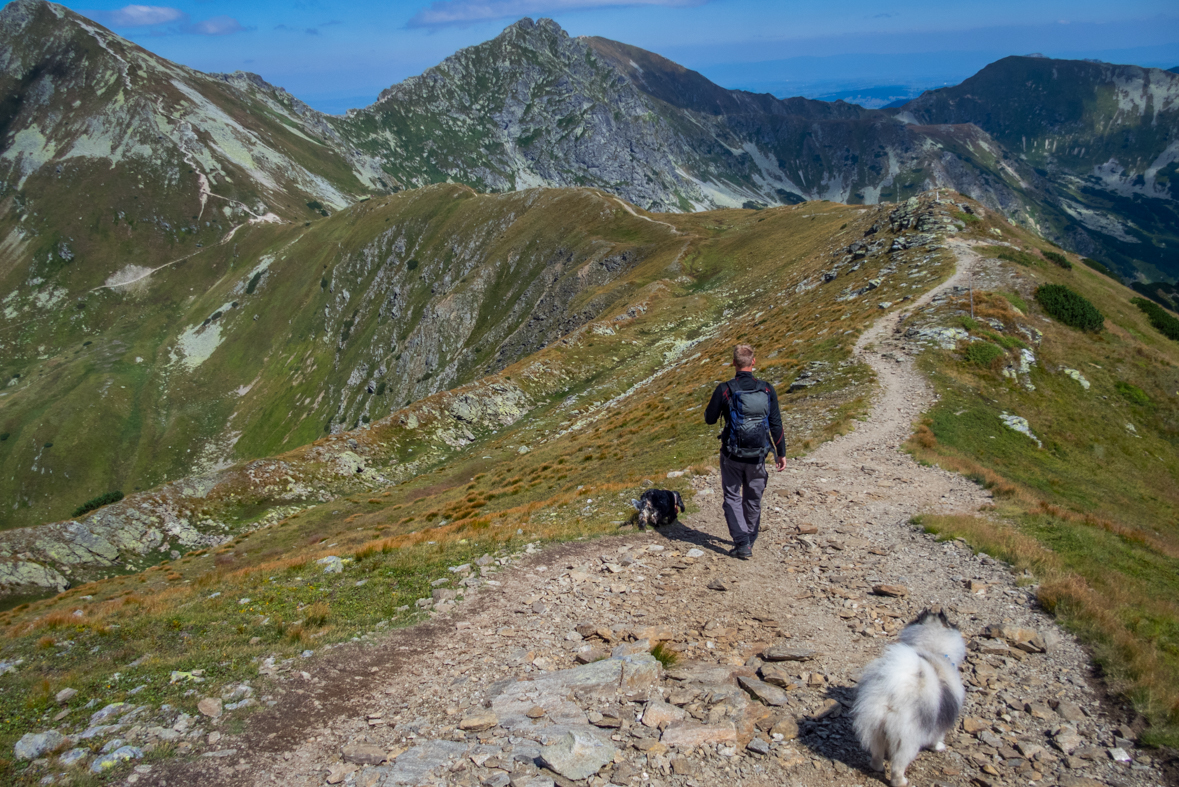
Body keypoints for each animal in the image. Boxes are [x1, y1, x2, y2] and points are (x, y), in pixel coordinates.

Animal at [858, 607, 966, 787]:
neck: (933, 648)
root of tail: (896, 693)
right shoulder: (941, 720)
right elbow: (938, 736)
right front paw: (938, 747)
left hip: (875, 727)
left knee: (877, 753)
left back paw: (877, 767)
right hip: (908, 739)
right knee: (898, 766)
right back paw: (900, 781)